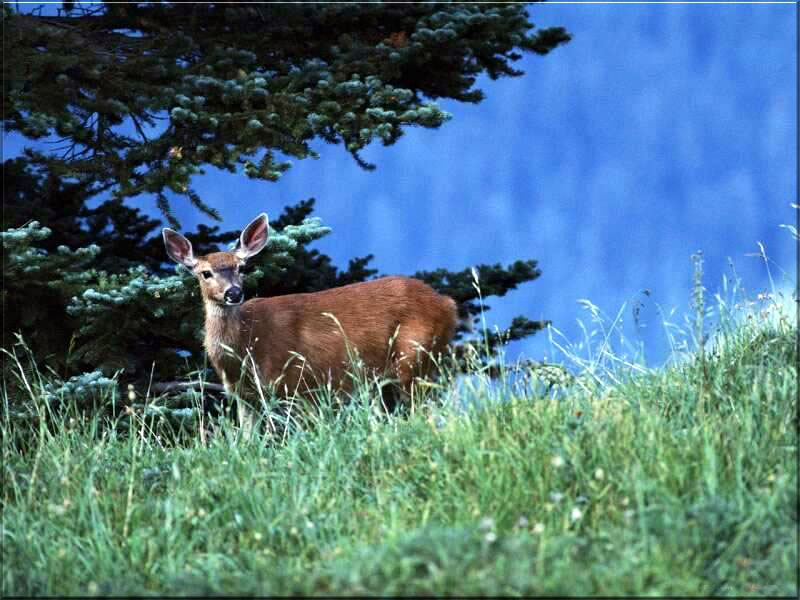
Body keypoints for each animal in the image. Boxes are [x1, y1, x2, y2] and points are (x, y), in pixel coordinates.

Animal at [162, 213, 458, 428]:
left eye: (241, 268)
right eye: (205, 273)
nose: (234, 293)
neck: (246, 346)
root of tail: (448, 304)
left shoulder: (298, 382)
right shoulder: (244, 396)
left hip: (414, 356)